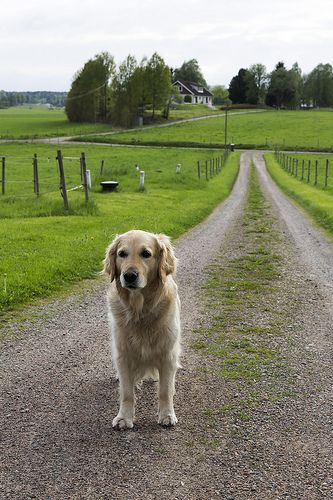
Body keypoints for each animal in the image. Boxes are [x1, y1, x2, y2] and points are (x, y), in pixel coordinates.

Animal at [102, 230, 180, 430]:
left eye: (146, 253)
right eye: (122, 254)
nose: (129, 275)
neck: (140, 310)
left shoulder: (168, 353)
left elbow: (165, 390)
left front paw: (167, 414)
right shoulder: (123, 354)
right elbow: (127, 392)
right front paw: (124, 417)